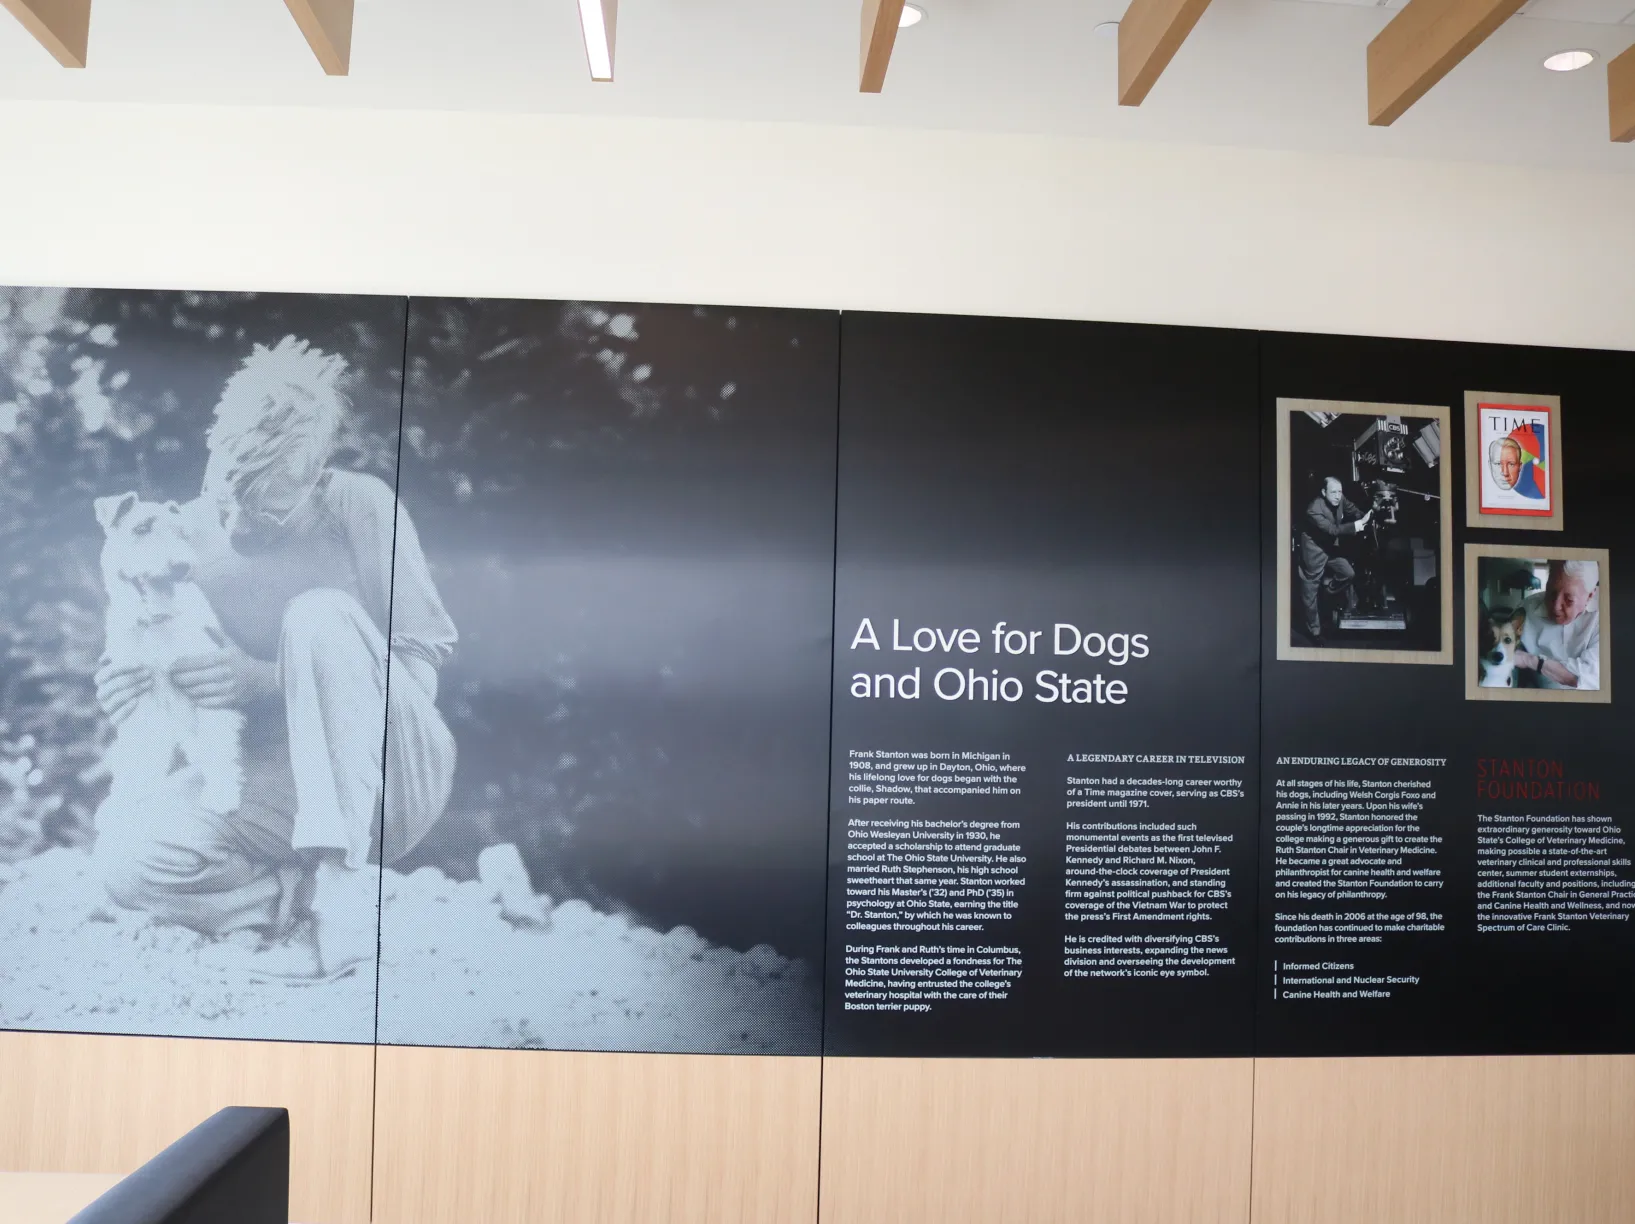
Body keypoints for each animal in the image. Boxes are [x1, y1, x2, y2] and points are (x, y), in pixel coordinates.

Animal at [95, 490, 241, 817]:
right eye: (141, 528)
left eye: (182, 534)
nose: (181, 566)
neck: (155, 627)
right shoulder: (138, 697)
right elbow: (139, 755)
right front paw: (130, 799)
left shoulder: (206, 688)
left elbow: (218, 743)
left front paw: (222, 794)